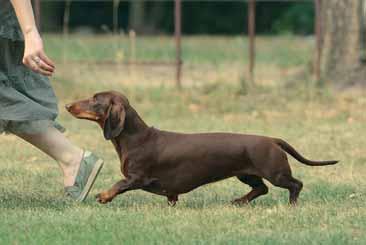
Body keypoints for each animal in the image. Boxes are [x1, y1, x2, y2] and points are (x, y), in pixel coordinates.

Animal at [65, 91, 338, 206]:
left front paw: (104, 196)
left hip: (275, 173)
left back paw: (292, 204)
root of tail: (272, 139)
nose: (67, 105)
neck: (137, 138)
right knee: (261, 189)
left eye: (95, 99)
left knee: (295, 185)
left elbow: (119, 185)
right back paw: (239, 201)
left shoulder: (138, 177)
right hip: (246, 174)